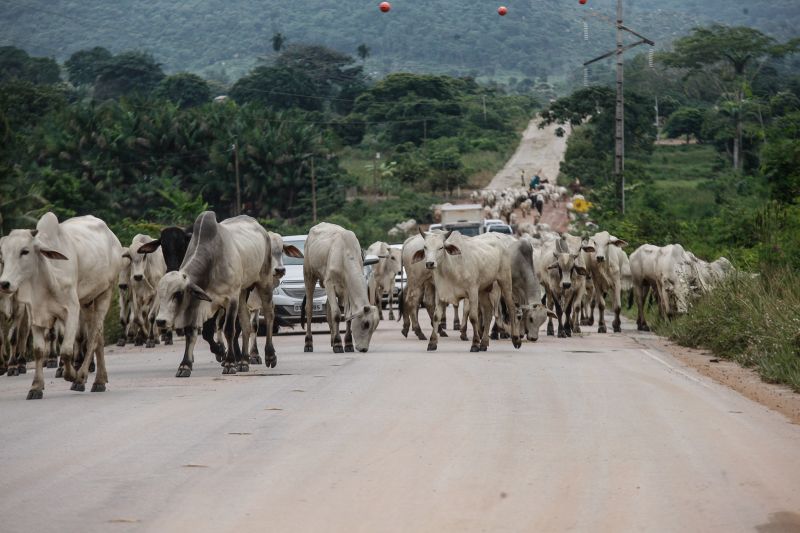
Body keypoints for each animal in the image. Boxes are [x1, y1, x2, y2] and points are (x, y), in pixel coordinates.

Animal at [0, 213, 122, 400]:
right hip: (87, 301)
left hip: (106, 292)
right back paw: (100, 380)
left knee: (94, 336)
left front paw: (72, 375)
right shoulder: (36, 314)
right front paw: (36, 387)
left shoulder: (72, 310)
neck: (46, 278)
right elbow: (38, 350)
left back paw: (83, 378)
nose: (5, 284)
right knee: (98, 336)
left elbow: (65, 350)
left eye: (25, 251)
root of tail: (113, 237)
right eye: (3, 256)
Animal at [304, 221, 384, 352]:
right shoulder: (329, 283)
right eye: (366, 324)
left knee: (328, 311)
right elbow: (337, 314)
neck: (344, 255)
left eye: (374, 327)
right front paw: (338, 344)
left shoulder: (347, 289)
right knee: (309, 309)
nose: (364, 349)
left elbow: (347, 315)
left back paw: (332, 340)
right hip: (309, 275)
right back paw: (308, 343)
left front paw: (348, 344)